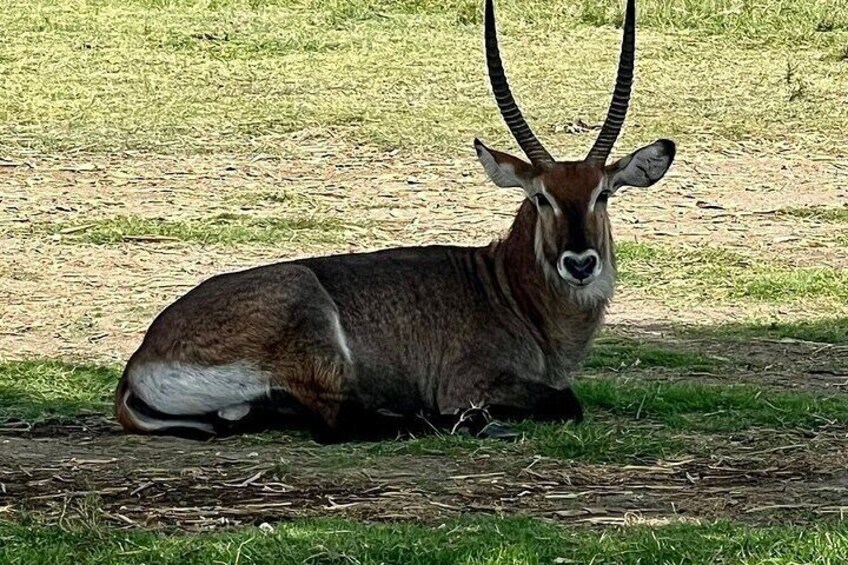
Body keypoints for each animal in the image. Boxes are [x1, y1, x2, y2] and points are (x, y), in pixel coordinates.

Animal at [117, 0, 676, 440]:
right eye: (541, 198)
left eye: (602, 194)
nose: (579, 264)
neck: (507, 289)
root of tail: (139, 361)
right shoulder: (471, 382)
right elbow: (567, 401)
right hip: (312, 324)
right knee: (337, 425)